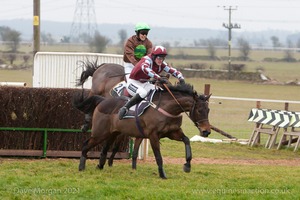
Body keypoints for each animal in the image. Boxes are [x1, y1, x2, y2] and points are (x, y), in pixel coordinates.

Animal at [73, 82, 211, 179]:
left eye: (208, 110)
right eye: (199, 110)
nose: (206, 131)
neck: (167, 108)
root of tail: (103, 101)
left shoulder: (172, 132)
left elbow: (186, 140)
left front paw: (187, 165)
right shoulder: (153, 135)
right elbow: (158, 156)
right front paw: (162, 174)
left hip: (112, 133)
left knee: (104, 149)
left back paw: (99, 166)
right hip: (99, 133)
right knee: (86, 145)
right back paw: (81, 167)